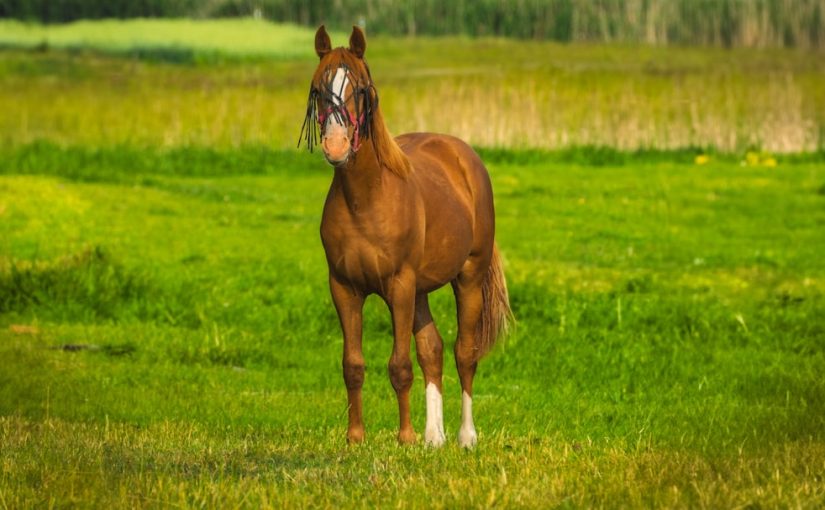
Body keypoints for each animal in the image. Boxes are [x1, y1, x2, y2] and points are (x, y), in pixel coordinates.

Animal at [299, 25, 512, 447]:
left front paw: (406, 437)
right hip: (421, 291)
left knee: (465, 353)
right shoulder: (344, 288)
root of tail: (463, 155)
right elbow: (353, 364)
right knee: (433, 349)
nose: (336, 145)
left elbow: (399, 365)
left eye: (360, 88)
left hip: (467, 277)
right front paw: (356, 437)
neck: (366, 199)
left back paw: (465, 436)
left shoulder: (398, 285)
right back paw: (435, 437)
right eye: (317, 88)